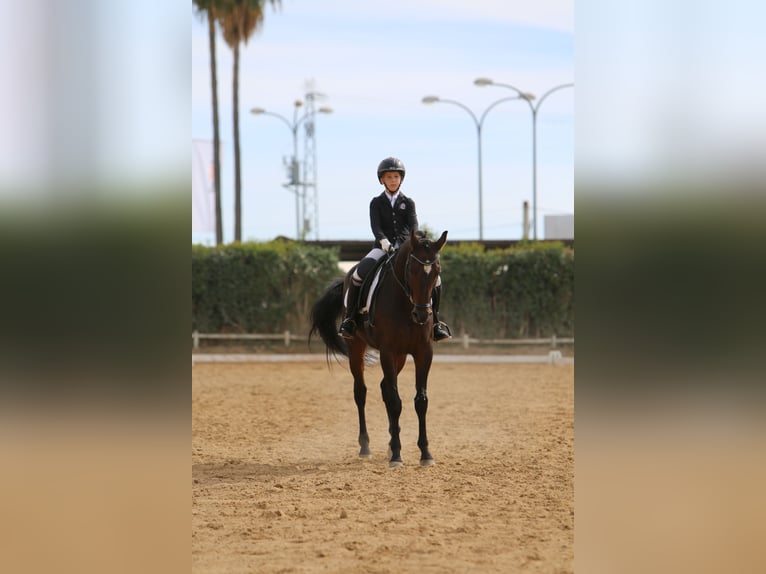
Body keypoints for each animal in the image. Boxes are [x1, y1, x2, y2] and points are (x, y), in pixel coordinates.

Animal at [310, 229, 448, 468]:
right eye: (411, 269)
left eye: (436, 272)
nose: (422, 315)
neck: (405, 304)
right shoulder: (387, 351)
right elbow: (395, 401)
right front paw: (397, 456)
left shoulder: (423, 353)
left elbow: (420, 401)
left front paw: (425, 454)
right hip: (357, 348)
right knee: (361, 392)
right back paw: (366, 447)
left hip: (400, 356)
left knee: (384, 388)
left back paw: (391, 442)